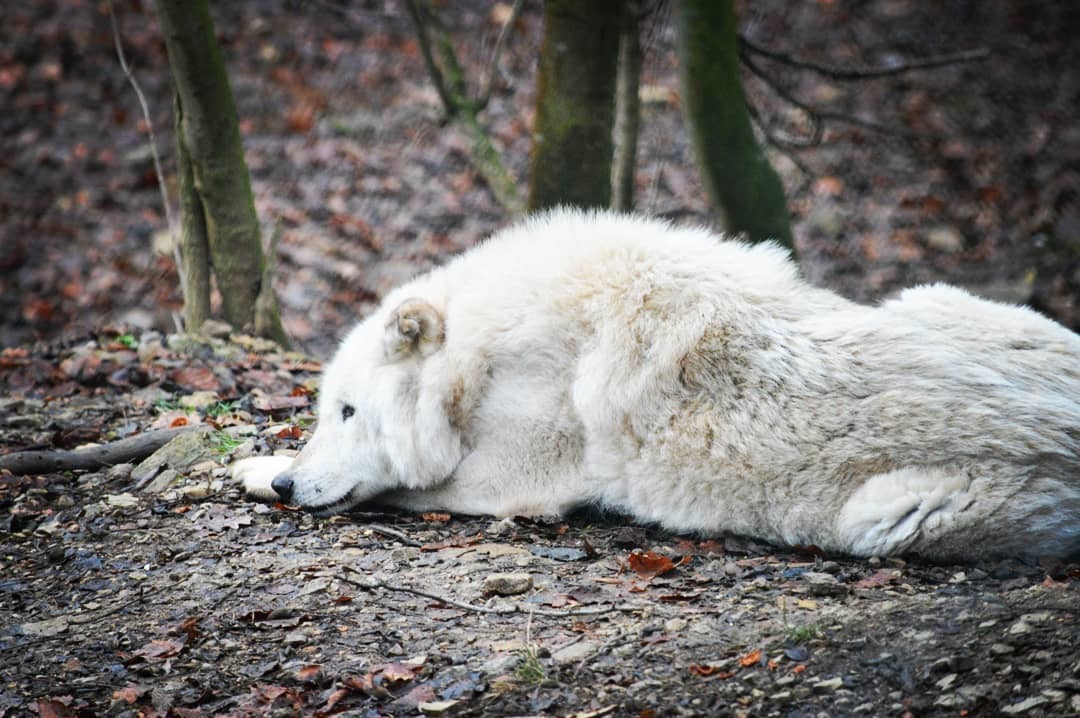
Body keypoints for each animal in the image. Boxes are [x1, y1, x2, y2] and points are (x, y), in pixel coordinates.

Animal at [234, 207, 1080, 561]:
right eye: (328, 411)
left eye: (349, 411)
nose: (288, 486)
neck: (479, 360)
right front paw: (261, 466)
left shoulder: (514, 482)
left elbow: (399, 487)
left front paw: (251, 467)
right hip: (934, 296)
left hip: (882, 516)